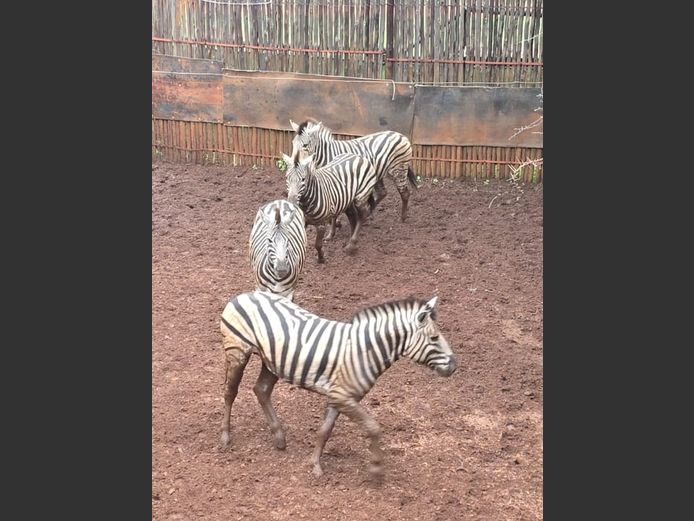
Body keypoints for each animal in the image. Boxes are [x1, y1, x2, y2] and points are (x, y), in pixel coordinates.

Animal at [220, 290, 457, 478]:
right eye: (435, 338)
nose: (455, 366)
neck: (365, 350)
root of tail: (245, 295)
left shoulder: (339, 396)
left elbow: (325, 431)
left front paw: (315, 464)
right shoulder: (343, 396)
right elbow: (373, 428)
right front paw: (376, 470)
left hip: (271, 362)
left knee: (261, 390)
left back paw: (279, 437)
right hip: (237, 353)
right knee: (230, 392)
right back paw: (225, 436)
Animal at [289, 119, 418, 223]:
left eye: (305, 145)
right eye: (293, 143)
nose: (293, 164)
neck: (327, 154)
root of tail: (401, 135)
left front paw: (336, 222)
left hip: (398, 169)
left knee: (405, 193)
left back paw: (402, 218)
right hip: (379, 172)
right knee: (383, 193)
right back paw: (369, 213)